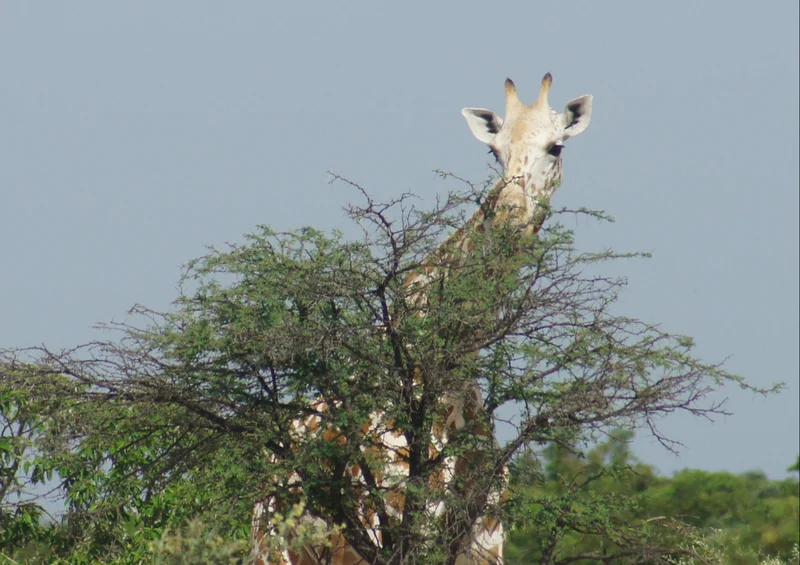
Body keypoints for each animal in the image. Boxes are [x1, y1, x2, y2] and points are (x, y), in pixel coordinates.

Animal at [250, 73, 593, 565]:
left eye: (557, 147)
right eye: (494, 152)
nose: (509, 214)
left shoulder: (484, 536)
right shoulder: (398, 524)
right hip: (274, 545)